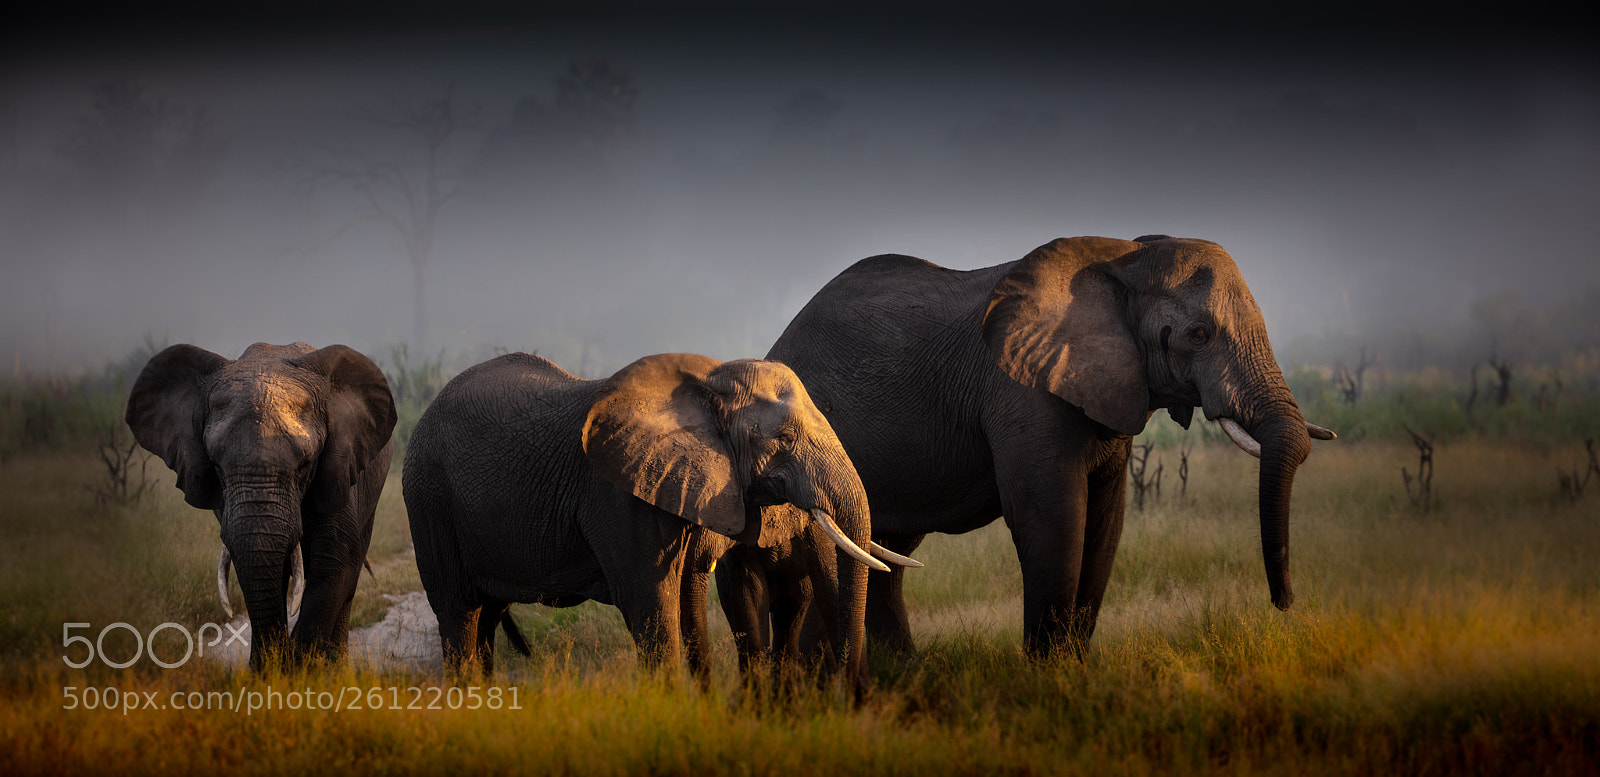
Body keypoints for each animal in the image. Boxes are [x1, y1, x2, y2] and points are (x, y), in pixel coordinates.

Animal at [126, 342, 397, 670]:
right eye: (216, 465)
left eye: (306, 464)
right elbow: (254, 567)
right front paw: (268, 673)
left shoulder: (340, 470)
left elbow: (334, 562)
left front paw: (302, 673)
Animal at [402, 352, 916, 688]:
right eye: (785, 438)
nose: (855, 696)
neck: (707, 386)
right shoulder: (618, 494)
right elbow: (650, 602)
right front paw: (669, 712)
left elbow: (685, 591)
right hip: (428, 499)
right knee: (458, 612)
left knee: (485, 616)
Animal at [716, 235, 1334, 662]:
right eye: (1198, 335)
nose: (1284, 605)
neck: (1125, 256)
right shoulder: (1021, 393)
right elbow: (1052, 517)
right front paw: (1047, 676)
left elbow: (1106, 522)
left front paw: (1074, 670)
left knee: (884, 544)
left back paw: (894, 670)